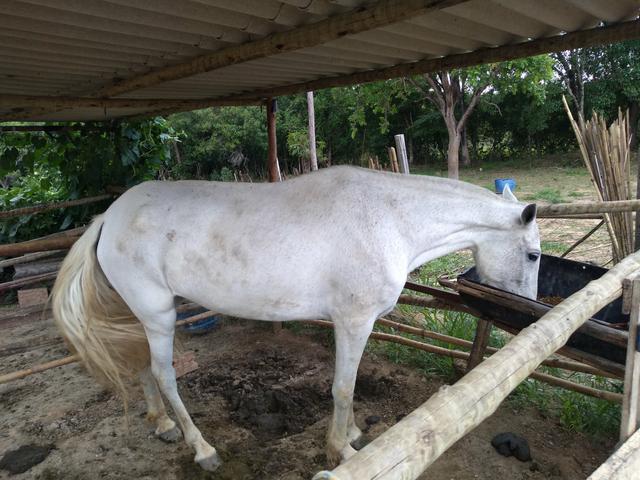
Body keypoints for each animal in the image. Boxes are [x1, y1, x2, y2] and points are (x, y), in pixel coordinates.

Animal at [51, 166, 540, 472]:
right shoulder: (354, 322)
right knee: (164, 374)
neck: (389, 220)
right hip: (158, 315)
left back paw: (163, 424)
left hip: (137, 313)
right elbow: (343, 387)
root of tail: (108, 216)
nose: (525, 316)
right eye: (534, 255)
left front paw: (353, 433)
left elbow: (349, 384)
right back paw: (202, 448)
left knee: (140, 367)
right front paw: (341, 449)